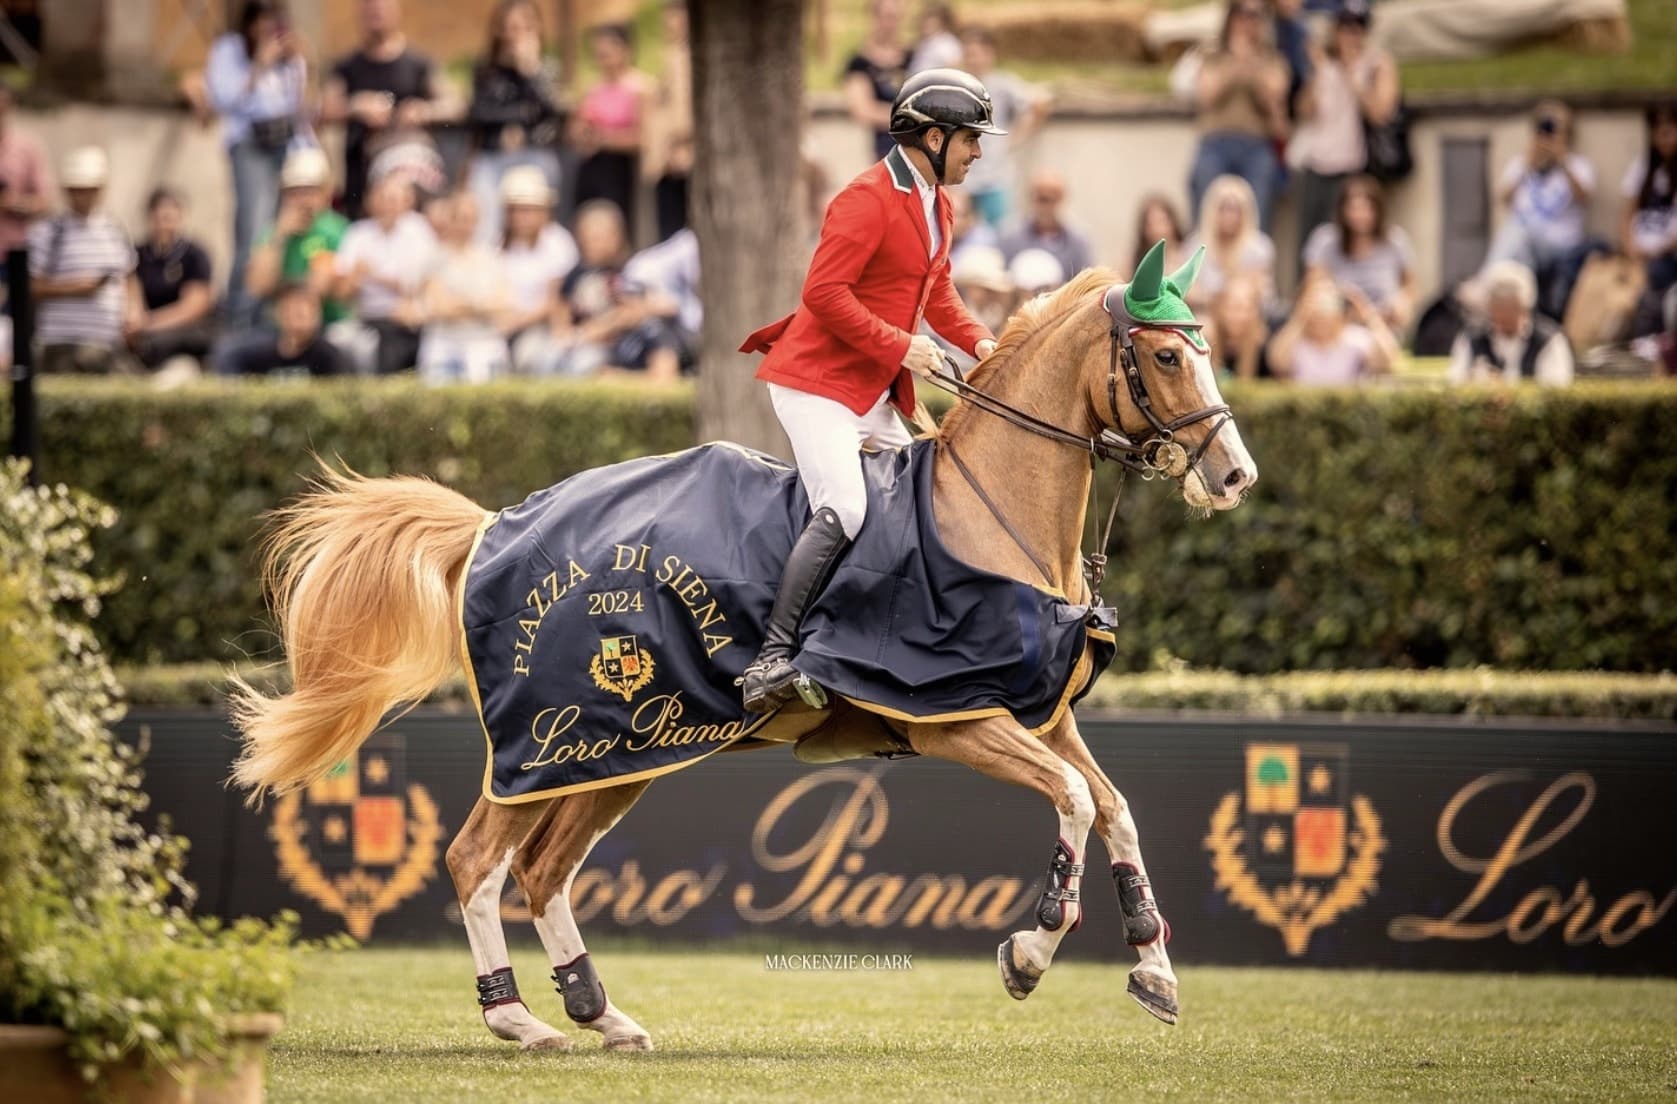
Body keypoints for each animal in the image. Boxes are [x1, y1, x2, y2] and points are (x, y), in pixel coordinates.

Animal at [229, 246, 1257, 1053]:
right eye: (1169, 354)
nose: (1235, 476)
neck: (986, 516)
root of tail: (497, 522)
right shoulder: (953, 717)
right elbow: (1077, 801)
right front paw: (1032, 951)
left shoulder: (1035, 714)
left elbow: (1113, 808)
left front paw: (1154, 972)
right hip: (545, 744)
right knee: (477, 858)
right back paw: (514, 1017)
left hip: (619, 753)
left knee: (541, 870)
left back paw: (596, 1012)